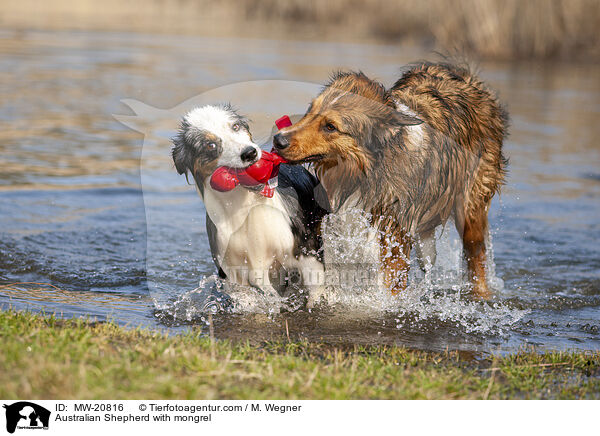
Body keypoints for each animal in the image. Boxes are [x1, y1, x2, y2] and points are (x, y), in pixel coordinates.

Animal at [274, 62, 508, 300]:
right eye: (310, 110)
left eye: (330, 126)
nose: (278, 140)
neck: (363, 174)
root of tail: (468, 78)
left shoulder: (393, 240)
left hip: (471, 207)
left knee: (476, 256)